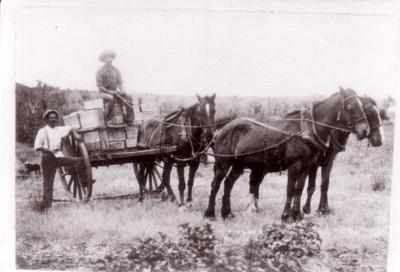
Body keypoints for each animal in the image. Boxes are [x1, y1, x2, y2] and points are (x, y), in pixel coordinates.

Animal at [205, 88, 370, 222]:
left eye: (361, 106)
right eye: (350, 106)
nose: (365, 130)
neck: (307, 129)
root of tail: (222, 129)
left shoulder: (307, 166)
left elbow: (300, 189)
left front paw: (296, 215)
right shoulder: (294, 165)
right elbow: (290, 189)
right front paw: (285, 215)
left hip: (239, 165)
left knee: (228, 184)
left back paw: (227, 213)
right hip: (223, 163)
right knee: (215, 184)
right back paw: (210, 214)